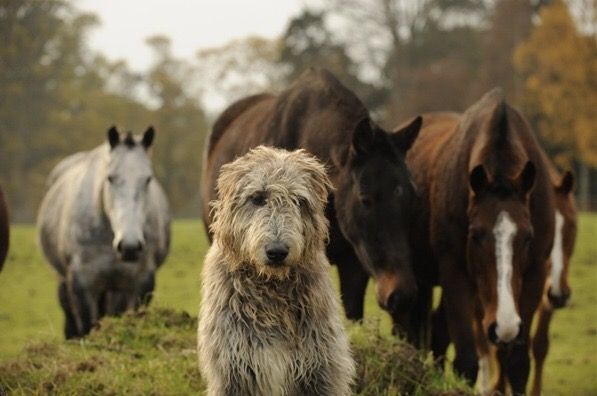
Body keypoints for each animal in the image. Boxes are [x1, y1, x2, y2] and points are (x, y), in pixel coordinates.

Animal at [37, 127, 170, 338]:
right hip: (64, 281)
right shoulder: (82, 283)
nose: (130, 246)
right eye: (110, 178)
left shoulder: (141, 282)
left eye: (148, 179)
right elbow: (86, 327)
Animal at [198, 146, 354, 396]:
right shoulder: (233, 371)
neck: (271, 292)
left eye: (299, 200)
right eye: (258, 198)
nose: (277, 251)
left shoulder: (321, 371)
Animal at [406, 87, 556, 392]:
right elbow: (466, 362)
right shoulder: (454, 272)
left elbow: (518, 362)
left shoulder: (536, 273)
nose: (504, 325)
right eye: (475, 235)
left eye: (528, 237)